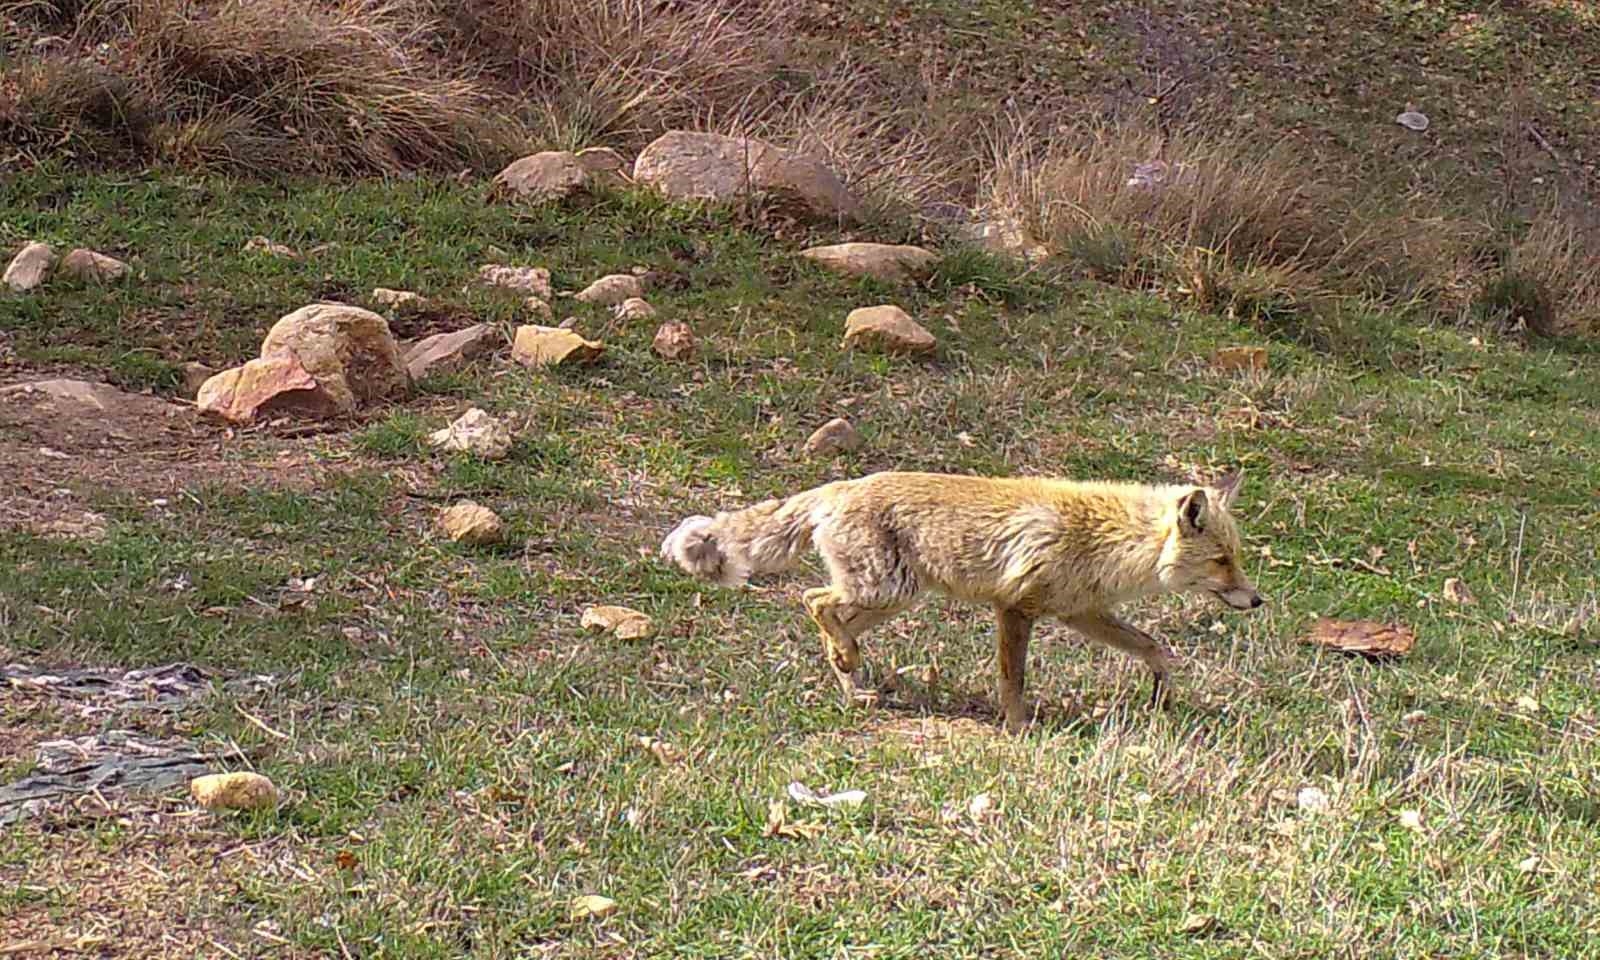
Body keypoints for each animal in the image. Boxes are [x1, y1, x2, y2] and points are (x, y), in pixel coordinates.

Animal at [659, 467, 1260, 732]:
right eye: (1221, 561)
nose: (1257, 601)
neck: (1105, 539)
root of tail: (840, 486)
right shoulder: (1017, 607)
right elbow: (1013, 680)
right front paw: (1018, 730)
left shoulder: (1079, 611)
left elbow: (1153, 647)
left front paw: (1162, 689)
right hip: (886, 589)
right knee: (814, 600)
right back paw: (847, 661)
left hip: (892, 598)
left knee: (828, 616)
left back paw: (851, 681)